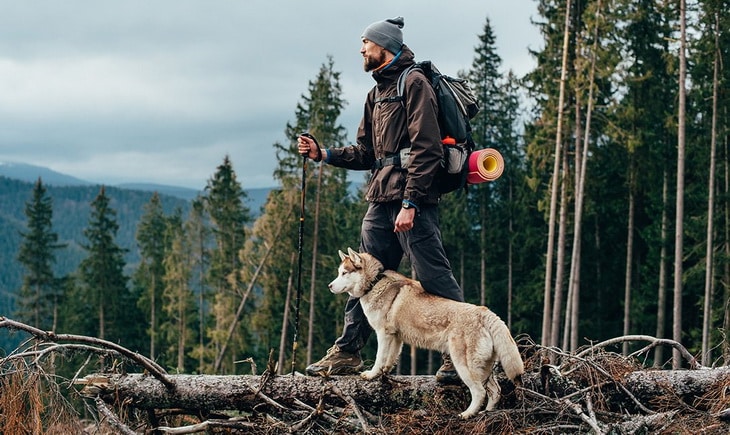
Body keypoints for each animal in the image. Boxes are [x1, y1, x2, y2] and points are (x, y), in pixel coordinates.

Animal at [330, 249, 524, 418]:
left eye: (344, 273)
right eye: (339, 272)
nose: (329, 286)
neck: (374, 283)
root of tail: (485, 312)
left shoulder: (383, 334)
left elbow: (379, 359)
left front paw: (371, 375)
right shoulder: (395, 337)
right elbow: (390, 359)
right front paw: (385, 373)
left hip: (464, 366)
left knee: (479, 392)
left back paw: (467, 414)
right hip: (484, 369)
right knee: (496, 391)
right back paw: (486, 413)